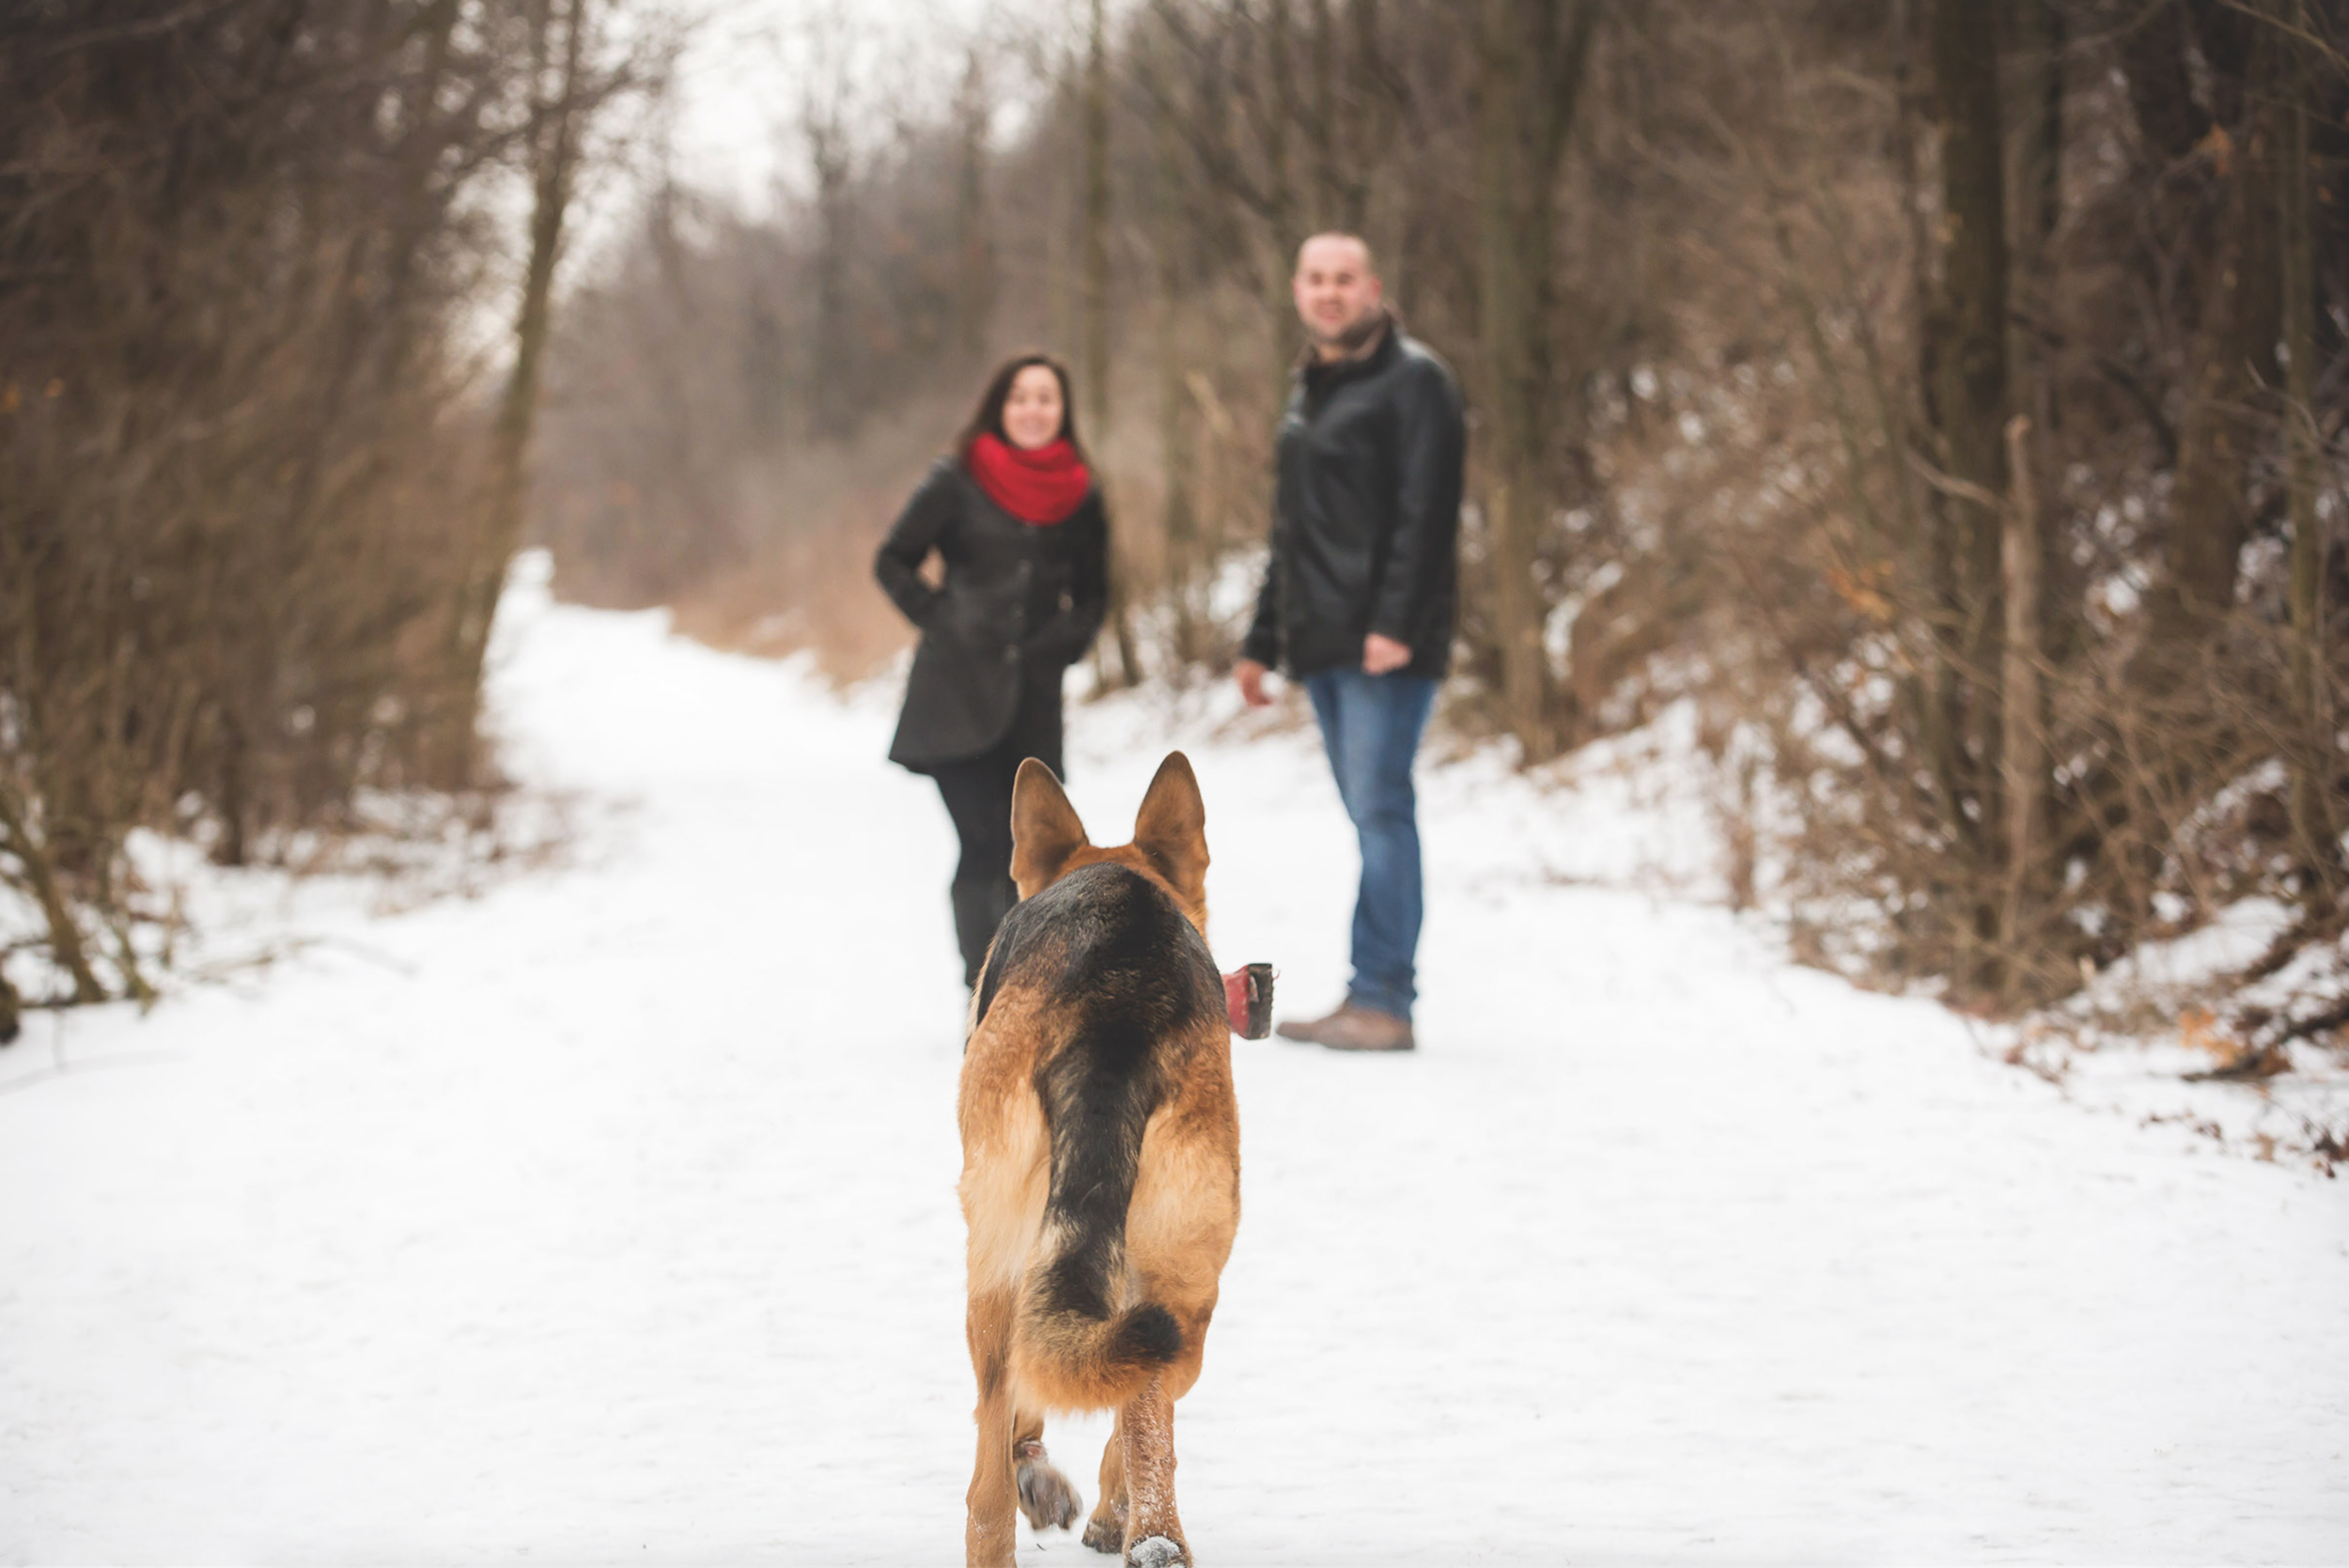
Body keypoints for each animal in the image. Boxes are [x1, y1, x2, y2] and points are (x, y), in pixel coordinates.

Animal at [958, 751, 1250, 1559]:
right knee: (1145, 1391)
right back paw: (1148, 1532)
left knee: (989, 1479)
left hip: (995, 1274)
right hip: (1184, 1282)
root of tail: (1117, 1009)